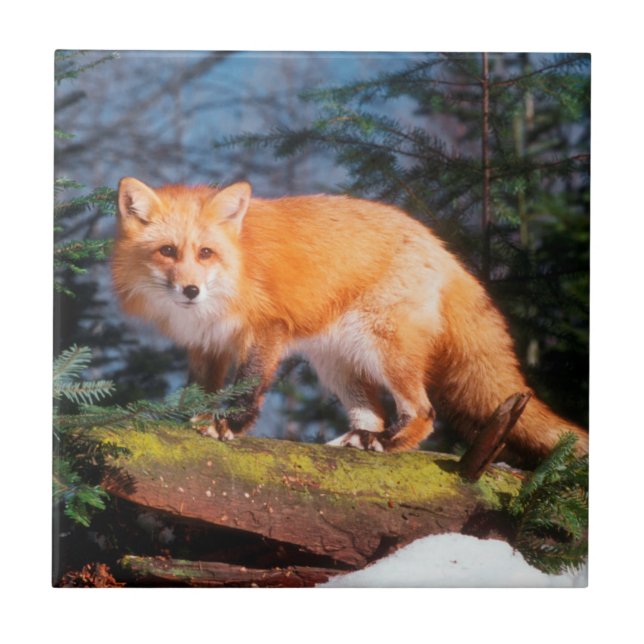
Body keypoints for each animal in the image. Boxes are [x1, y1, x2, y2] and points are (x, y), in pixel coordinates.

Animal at [112, 177, 588, 465]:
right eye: (168, 251)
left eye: (205, 253)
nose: (190, 290)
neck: (238, 267)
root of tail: (439, 245)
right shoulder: (206, 344)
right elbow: (199, 390)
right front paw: (187, 421)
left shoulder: (265, 330)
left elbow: (246, 386)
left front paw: (227, 425)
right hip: (337, 364)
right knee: (372, 415)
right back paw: (358, 442)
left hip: (383, 348)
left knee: (424, 413)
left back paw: (388, 445)